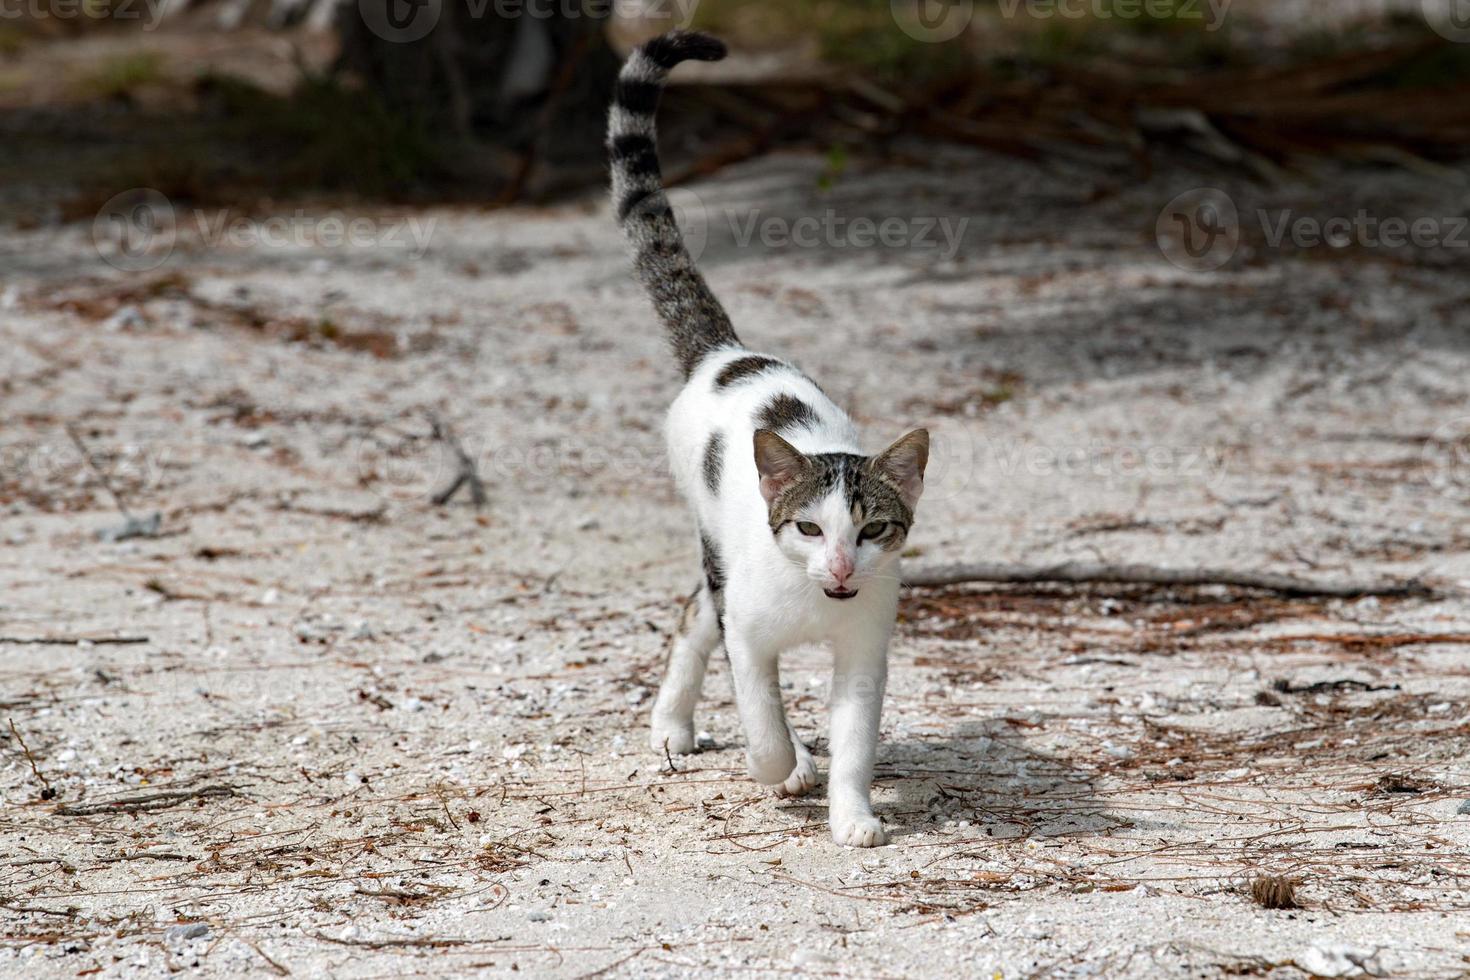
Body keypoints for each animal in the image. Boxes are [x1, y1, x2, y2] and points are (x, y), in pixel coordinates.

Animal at [608, 28, 929, 846]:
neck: (819, 602)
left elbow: (854, 736)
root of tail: (728, 353)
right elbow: (761, 718)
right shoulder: (748, 634)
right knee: (698, 618)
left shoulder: (866, 648)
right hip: (714, 543)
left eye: (873, 528)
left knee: (691, 613)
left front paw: (852, 814)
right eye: (810, 527)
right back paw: (674, 726)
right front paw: (785, 767)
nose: (842, 568)